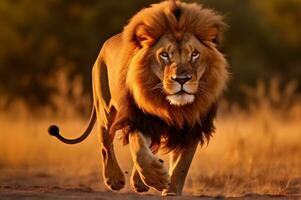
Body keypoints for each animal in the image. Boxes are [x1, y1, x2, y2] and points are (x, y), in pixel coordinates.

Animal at [48, 0, 227, 196]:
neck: (173, 108)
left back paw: (140, 181)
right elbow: (140, 150)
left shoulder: (192, 128)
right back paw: (114, 178)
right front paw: (157, 178)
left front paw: (171, 190)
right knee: (106, 143)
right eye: (164, 55)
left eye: (194, 54)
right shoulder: (139, 119)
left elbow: (181, 166)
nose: (181, 79)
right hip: (105, 110)